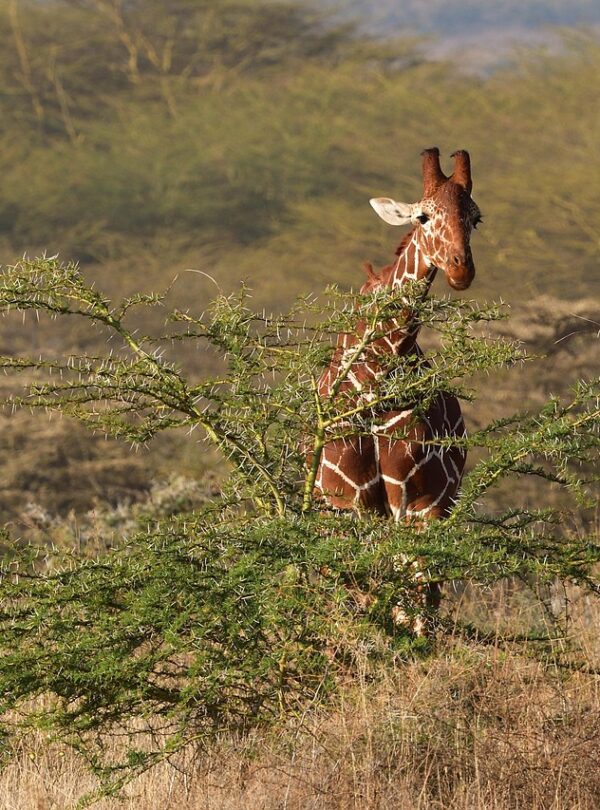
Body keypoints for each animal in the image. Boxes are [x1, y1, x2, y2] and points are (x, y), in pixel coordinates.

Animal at [313, 148, 482, 634]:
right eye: (423, 216)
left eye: (475, 218)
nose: (461, 269)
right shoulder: (350, 499)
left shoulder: (424, 501)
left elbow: (416, 601)